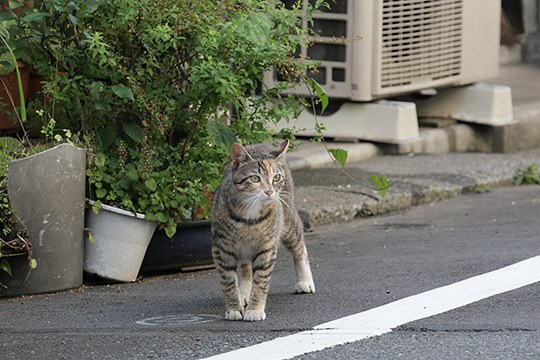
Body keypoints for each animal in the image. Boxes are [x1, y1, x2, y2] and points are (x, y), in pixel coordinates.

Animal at [210, 140, 312, 320]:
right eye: (255, 178)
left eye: (276, 178)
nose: (269, 191)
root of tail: (263, 143)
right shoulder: (221, 248)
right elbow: (228, 281)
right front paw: (234, 308)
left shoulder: (267, 248)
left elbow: (261, 281)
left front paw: (255, 309)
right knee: (246, 268)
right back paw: (244, 293)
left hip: (287, 221)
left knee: (299, 246)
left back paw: (305, 280)